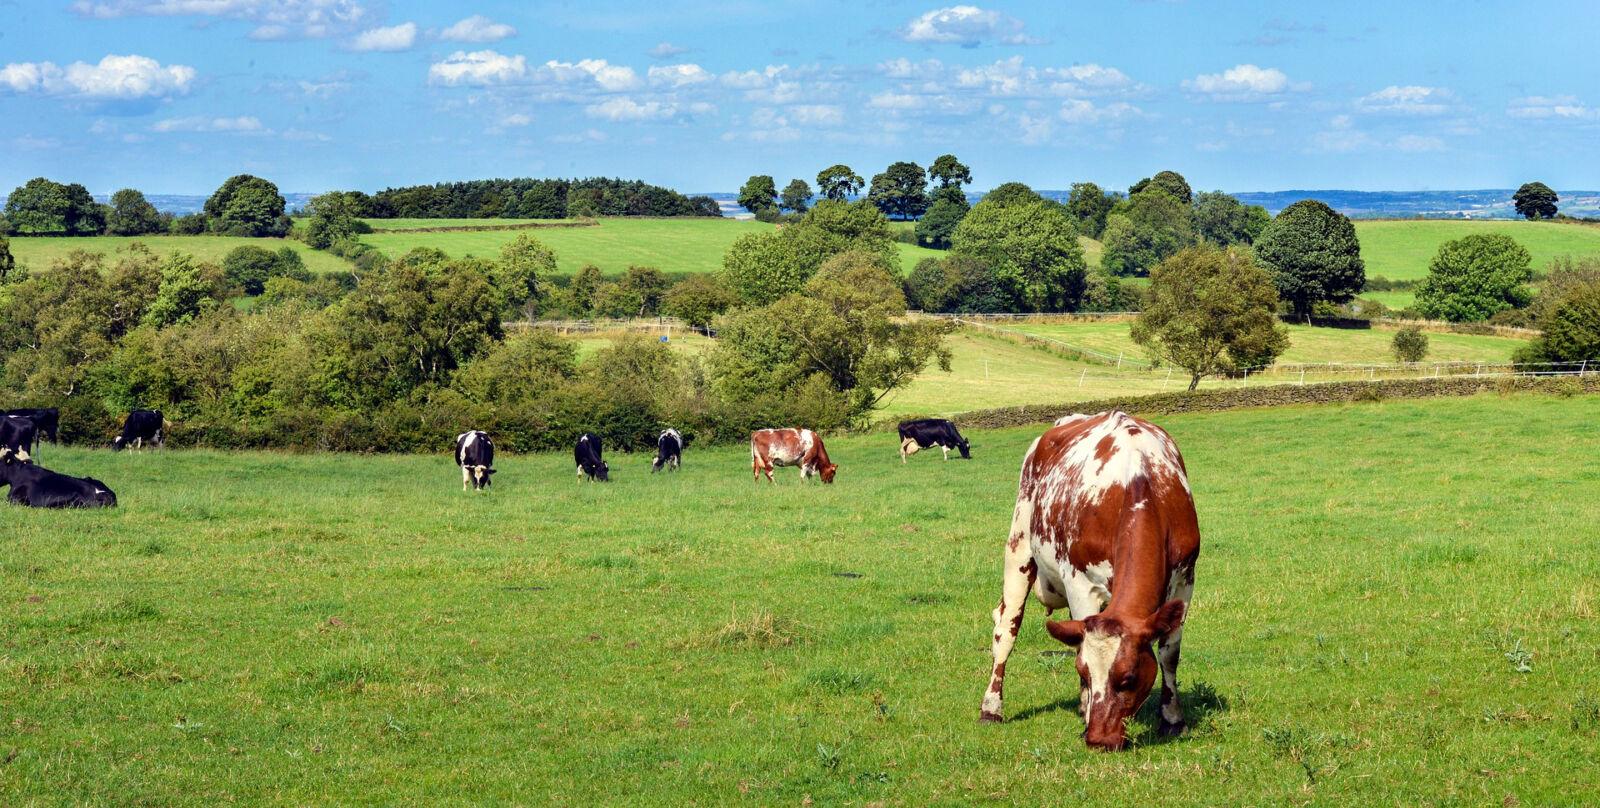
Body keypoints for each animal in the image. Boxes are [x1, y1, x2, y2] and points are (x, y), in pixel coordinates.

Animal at [972, 409, 1203, 748]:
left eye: (1128, 678)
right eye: (1084, 673)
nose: (1099, 739)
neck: (1139, 483)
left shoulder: (1185, 580)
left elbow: (1169, 654)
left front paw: (1173, 719)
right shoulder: (1080, 584)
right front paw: (1086, 709)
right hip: (1019, 546)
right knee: (1006, 629)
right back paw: (991, 707)